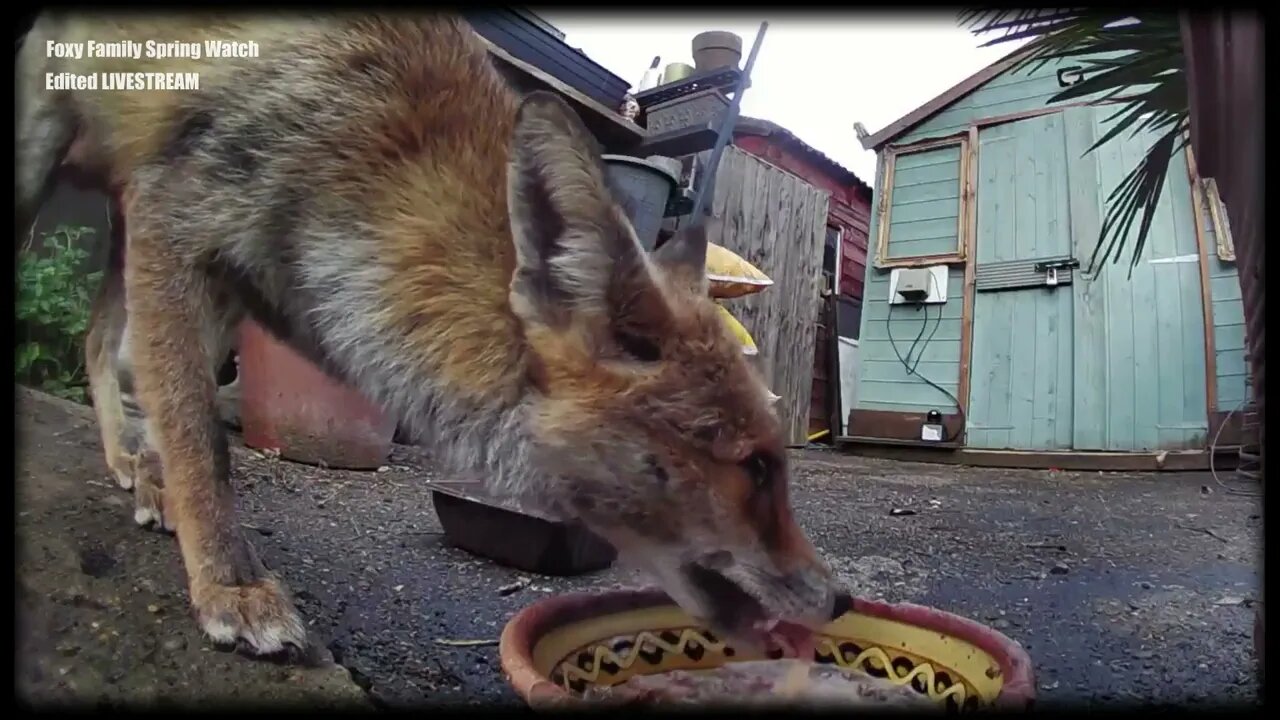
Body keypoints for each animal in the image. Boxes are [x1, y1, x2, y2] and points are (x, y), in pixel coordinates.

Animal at [22, 12, 839, 661]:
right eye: (755, 467)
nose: (838, 601)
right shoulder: (175, 218)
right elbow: (200, 440)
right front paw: (230, 582)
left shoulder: (216, 273)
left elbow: (173, 411)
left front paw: (175, 504)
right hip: (43, 161)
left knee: (97, 343)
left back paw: (130, 466)